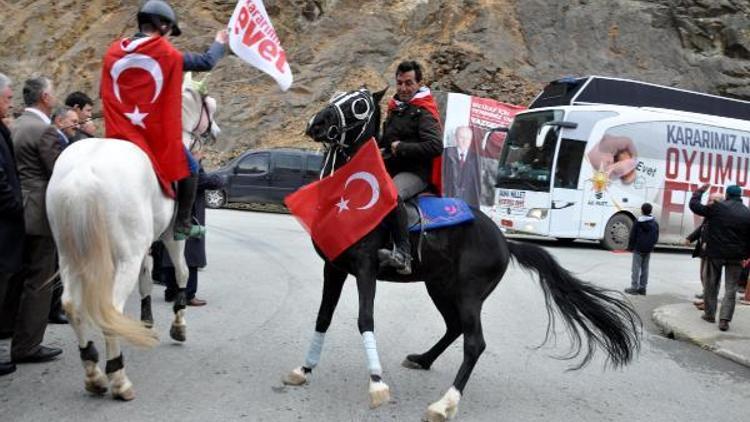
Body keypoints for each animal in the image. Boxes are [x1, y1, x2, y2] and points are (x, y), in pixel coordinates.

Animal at [46, 73, 219, 402]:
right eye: (210, 105)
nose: (215, 130)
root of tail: (83, 174)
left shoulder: (145, 246)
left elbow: (146, 278)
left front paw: (147, 320)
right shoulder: (170, 238)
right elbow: (181, 272)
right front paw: (179, 323)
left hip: (71, 255)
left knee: (73, 305)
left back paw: (93, 374)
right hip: (123, 257)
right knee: (110, 309)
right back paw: (118, 378)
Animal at [282, 87, 640, 420]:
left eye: (359, 104)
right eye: (336, 96)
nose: (316, 123)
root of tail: (504, 241)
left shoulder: (365, 268)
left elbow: (365, 319)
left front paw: (377, 384)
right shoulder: (334, 268)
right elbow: (323, 317)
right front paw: (304, 370)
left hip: (469, 293)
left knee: (474, 342)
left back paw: (444, 403)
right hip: (440, 286)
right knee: (455, 327)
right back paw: (423, 360)